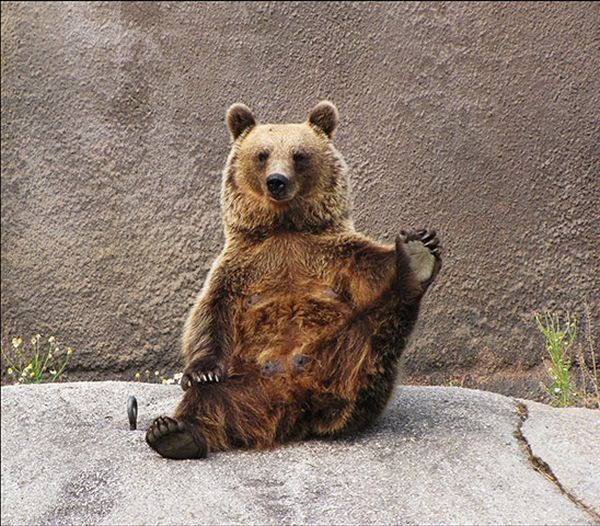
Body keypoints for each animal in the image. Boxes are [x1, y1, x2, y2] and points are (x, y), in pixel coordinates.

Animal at [146, 101, 440, 460]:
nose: (277, 181)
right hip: (244, 380)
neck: (285, 226)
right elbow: (210, 311)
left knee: (375, 334)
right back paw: (173, 432)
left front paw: (416, 244)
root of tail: (293, 402)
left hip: (344, 354)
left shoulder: (332, 253)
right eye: (262, 154)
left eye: (299, 155)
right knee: (210, 399)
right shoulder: (241, 266)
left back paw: (417, 263)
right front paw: (201, 370)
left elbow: (372, 267)